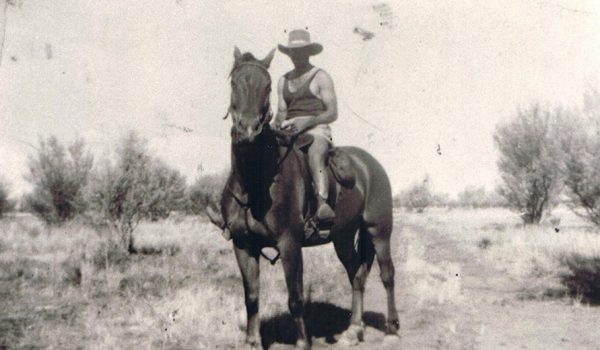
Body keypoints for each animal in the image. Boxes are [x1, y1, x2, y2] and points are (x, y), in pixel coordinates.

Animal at [211, 47, 398, 350]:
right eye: (234, 83)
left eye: (266, 86)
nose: (249, 129)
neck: (255, 185)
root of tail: (371, 165)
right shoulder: (243, 245)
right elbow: (251, 297)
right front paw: (252, 341)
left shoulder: (290, 244)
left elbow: (295, 299)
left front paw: (302, 342)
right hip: (343, 235)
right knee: (356, 275)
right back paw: (353, 330)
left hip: (378, 230)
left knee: (387, 275)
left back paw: (392, 330)